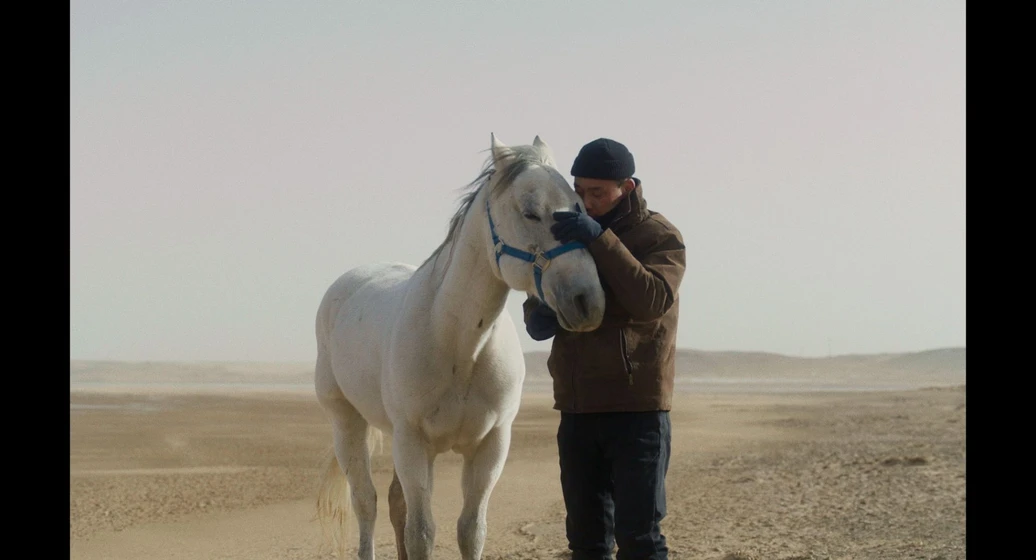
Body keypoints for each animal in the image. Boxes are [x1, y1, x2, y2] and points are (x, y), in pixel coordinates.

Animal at [313, 134, 607, 560]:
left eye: (580, 206)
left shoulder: (490, 446)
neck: (458, 345)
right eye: (531, 212)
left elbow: (471, 529)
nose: (587, 300)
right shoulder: (413, 443)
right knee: (366, 502)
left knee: (394, 500)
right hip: (347, 421)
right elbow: (422, 532)